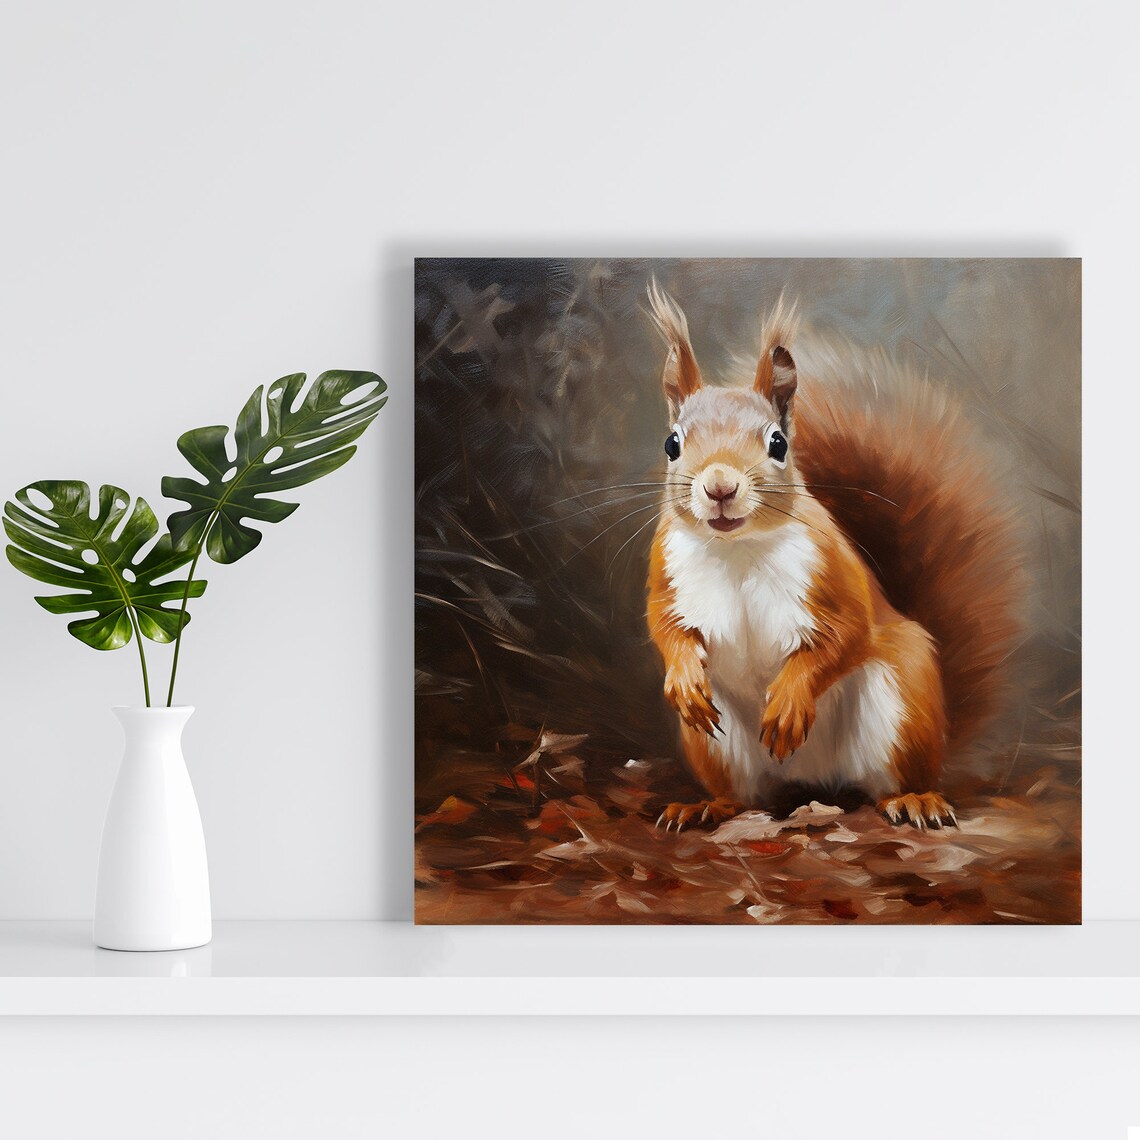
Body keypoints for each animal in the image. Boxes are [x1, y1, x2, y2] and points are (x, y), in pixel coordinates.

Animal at [644, 282, 1022, 831]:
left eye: (778, 443)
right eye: (672, 443)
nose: (719, 486)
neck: (738, 552)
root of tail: (813, 783)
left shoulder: (833, 572)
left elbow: (845, 635)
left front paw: (789, 702)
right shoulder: (666, 574)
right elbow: (665, 628)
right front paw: (684, 679)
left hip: (902, 704)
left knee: (891, 782)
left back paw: (915, 799)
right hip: (715, 748)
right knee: (742, 796)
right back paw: (705, 807)